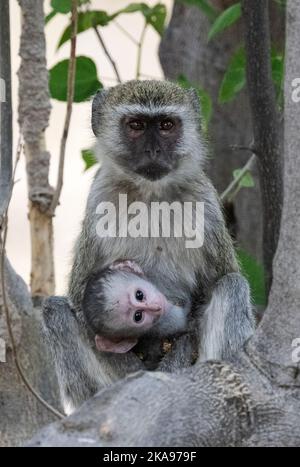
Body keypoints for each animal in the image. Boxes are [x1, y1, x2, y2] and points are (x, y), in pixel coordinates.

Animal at [43, 82, 254, 414]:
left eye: (166, 125)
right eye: (136, 126)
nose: (153, 151)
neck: (151, 196)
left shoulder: (206, 202)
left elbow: (217, 281)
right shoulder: (98, 198)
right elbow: (80, 298)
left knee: (232, 285)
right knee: (55, 311)